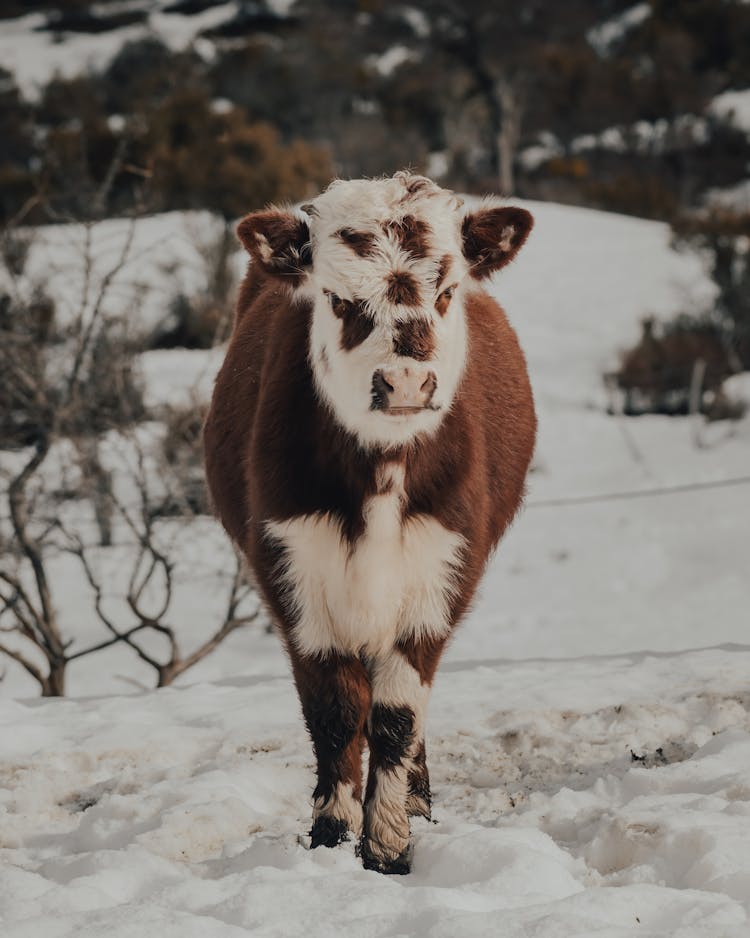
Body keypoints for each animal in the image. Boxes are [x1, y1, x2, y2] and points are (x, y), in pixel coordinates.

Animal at [203, 172, 536, 872]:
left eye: (448, 290)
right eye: (335, 297)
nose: (406, 381)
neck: (382, 471)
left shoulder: (439, 575)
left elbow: (397, 716)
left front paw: (387, 843)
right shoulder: (296, 574)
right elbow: (335, 712)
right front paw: (332, 833)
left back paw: (416, 799)